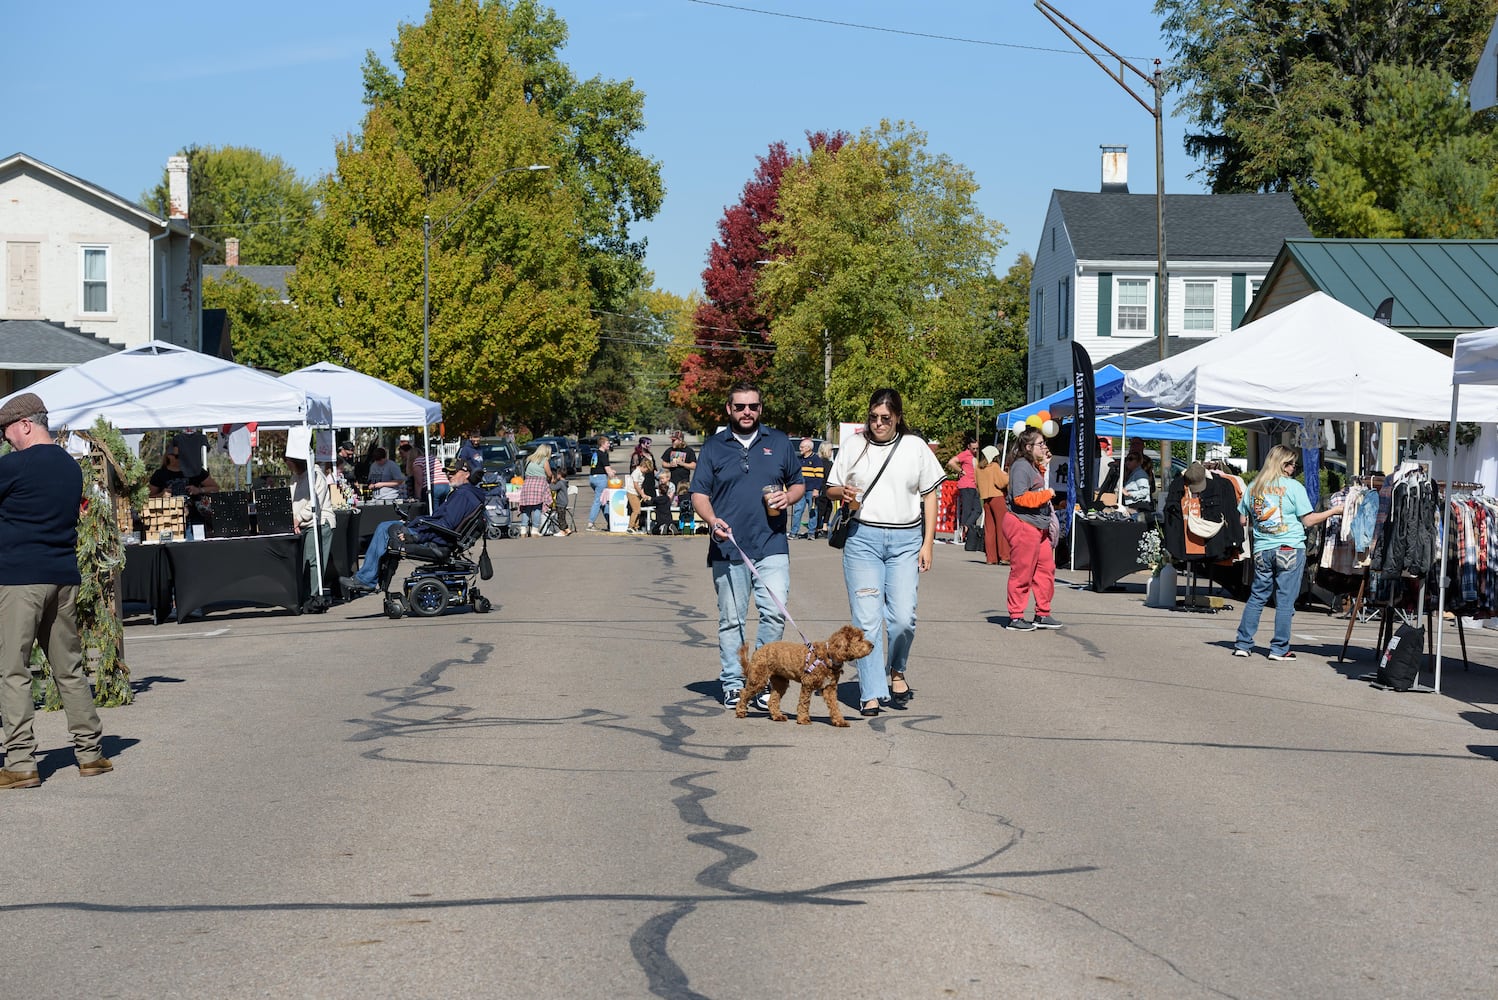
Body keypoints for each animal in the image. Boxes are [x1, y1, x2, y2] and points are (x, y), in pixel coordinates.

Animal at [731, 625, 874, 727]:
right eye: (859, 640)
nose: (872, 645)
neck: (828, 656)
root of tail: (758, 652)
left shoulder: (830, 688)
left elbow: (834, 706)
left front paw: (839, 721)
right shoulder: (808, 683)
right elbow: (804, 703)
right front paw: (804, 719)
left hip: (780, 681)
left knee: (773, 700)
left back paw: (777, 716)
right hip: (759, 678)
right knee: (744, 693)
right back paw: (740, 711)